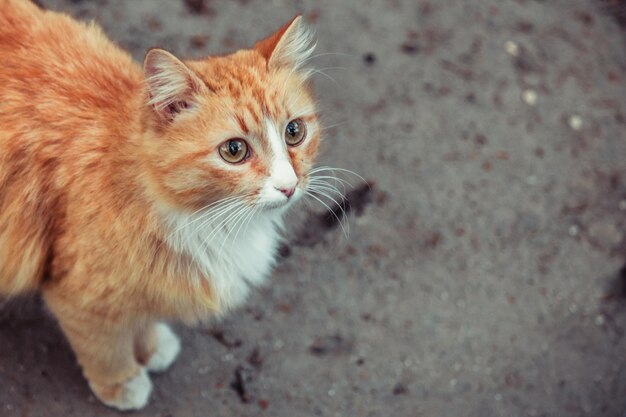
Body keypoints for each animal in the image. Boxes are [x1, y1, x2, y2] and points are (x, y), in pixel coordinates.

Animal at [0, 0, 322, 408]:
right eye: (234, 150)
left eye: (294, 132)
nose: (288, 186)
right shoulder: (77, 294)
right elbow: (104, 347)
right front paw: (122, 382)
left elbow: (141, 317)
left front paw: (151, 346)